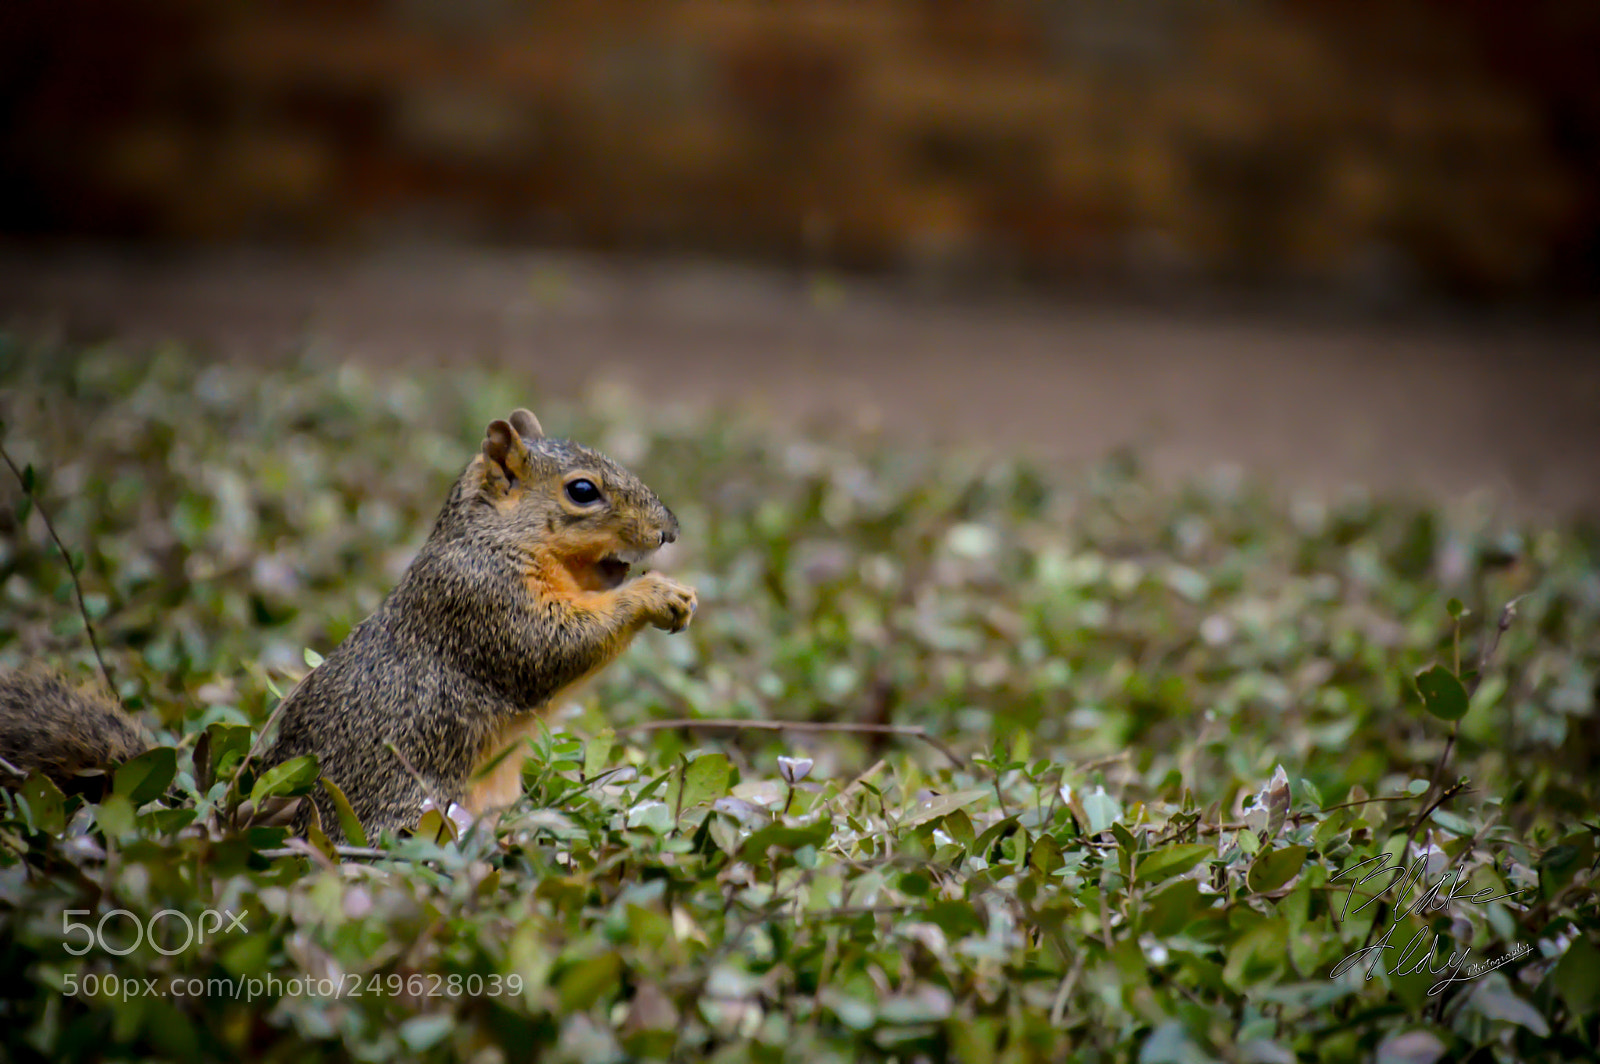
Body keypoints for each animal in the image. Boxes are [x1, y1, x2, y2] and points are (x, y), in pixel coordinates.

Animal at [0, 408, 697, 841]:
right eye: (582, 491)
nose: (669, 532)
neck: (497, 537)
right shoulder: (480, 598)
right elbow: (547, 646)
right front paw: (654, 593)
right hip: (402, 811)